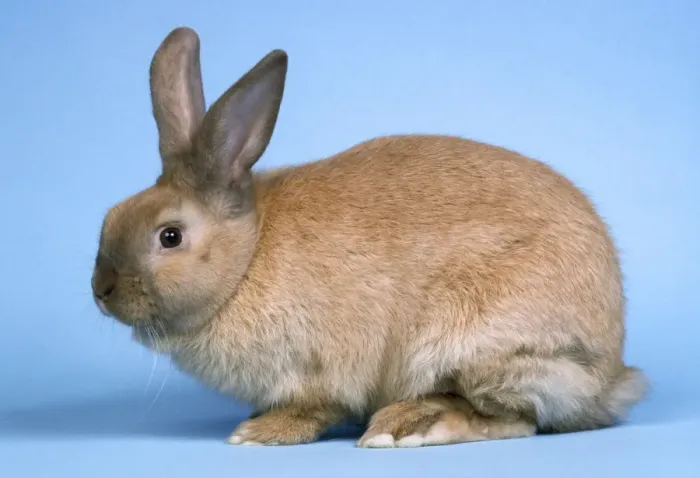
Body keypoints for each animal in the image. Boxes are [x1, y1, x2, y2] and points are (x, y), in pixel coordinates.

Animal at [91, 26, 648, 448]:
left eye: (169, 236)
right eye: (111, 215)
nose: (102, 290)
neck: (247, 258)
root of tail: (610, 376)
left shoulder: (318, 369)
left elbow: (312, 408)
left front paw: (258, 433)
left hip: (481, 348)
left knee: (516, 419)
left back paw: (406, 426)